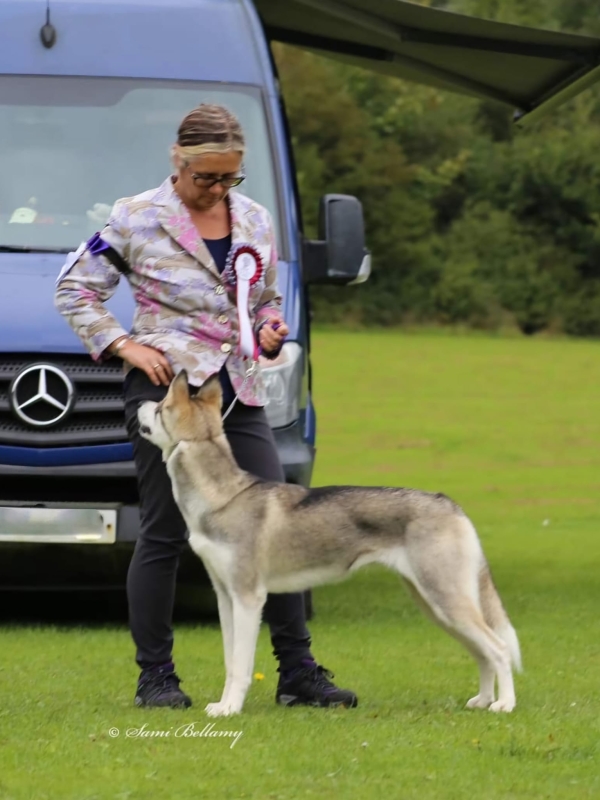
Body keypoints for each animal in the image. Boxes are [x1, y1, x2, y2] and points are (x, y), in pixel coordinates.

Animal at [137, 372, 520, 716]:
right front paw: (223, 704)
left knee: (499, 648)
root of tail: (449, 503)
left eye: (160, 407)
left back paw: (504, 704)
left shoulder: (248, 599)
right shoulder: (225, 598)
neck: (222, 498)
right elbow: (231, 663)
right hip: (435, 605)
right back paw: (483, 700)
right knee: (483, 652)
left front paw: (231, 709)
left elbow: (241, 666)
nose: (139, 404)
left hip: (446, 599)